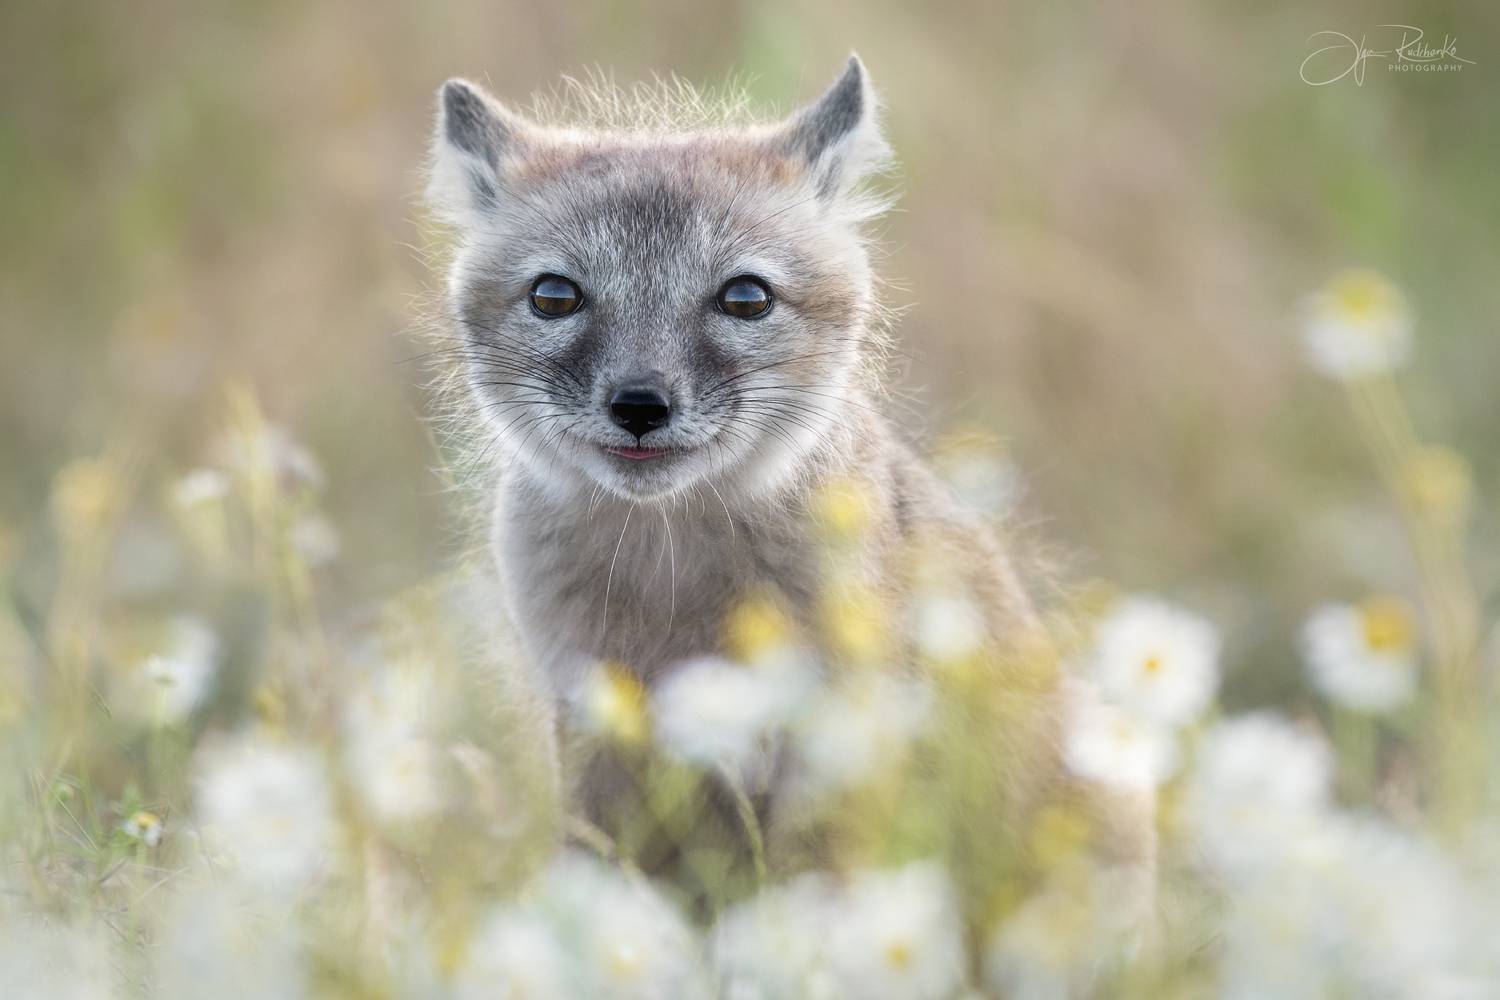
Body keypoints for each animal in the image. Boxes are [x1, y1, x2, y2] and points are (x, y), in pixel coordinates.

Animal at [424, 55, 1153, 918]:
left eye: (745, 297)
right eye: (554, 296)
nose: (640, 405)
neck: (673, 584)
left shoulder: (829, 756)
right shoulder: (595, 741)